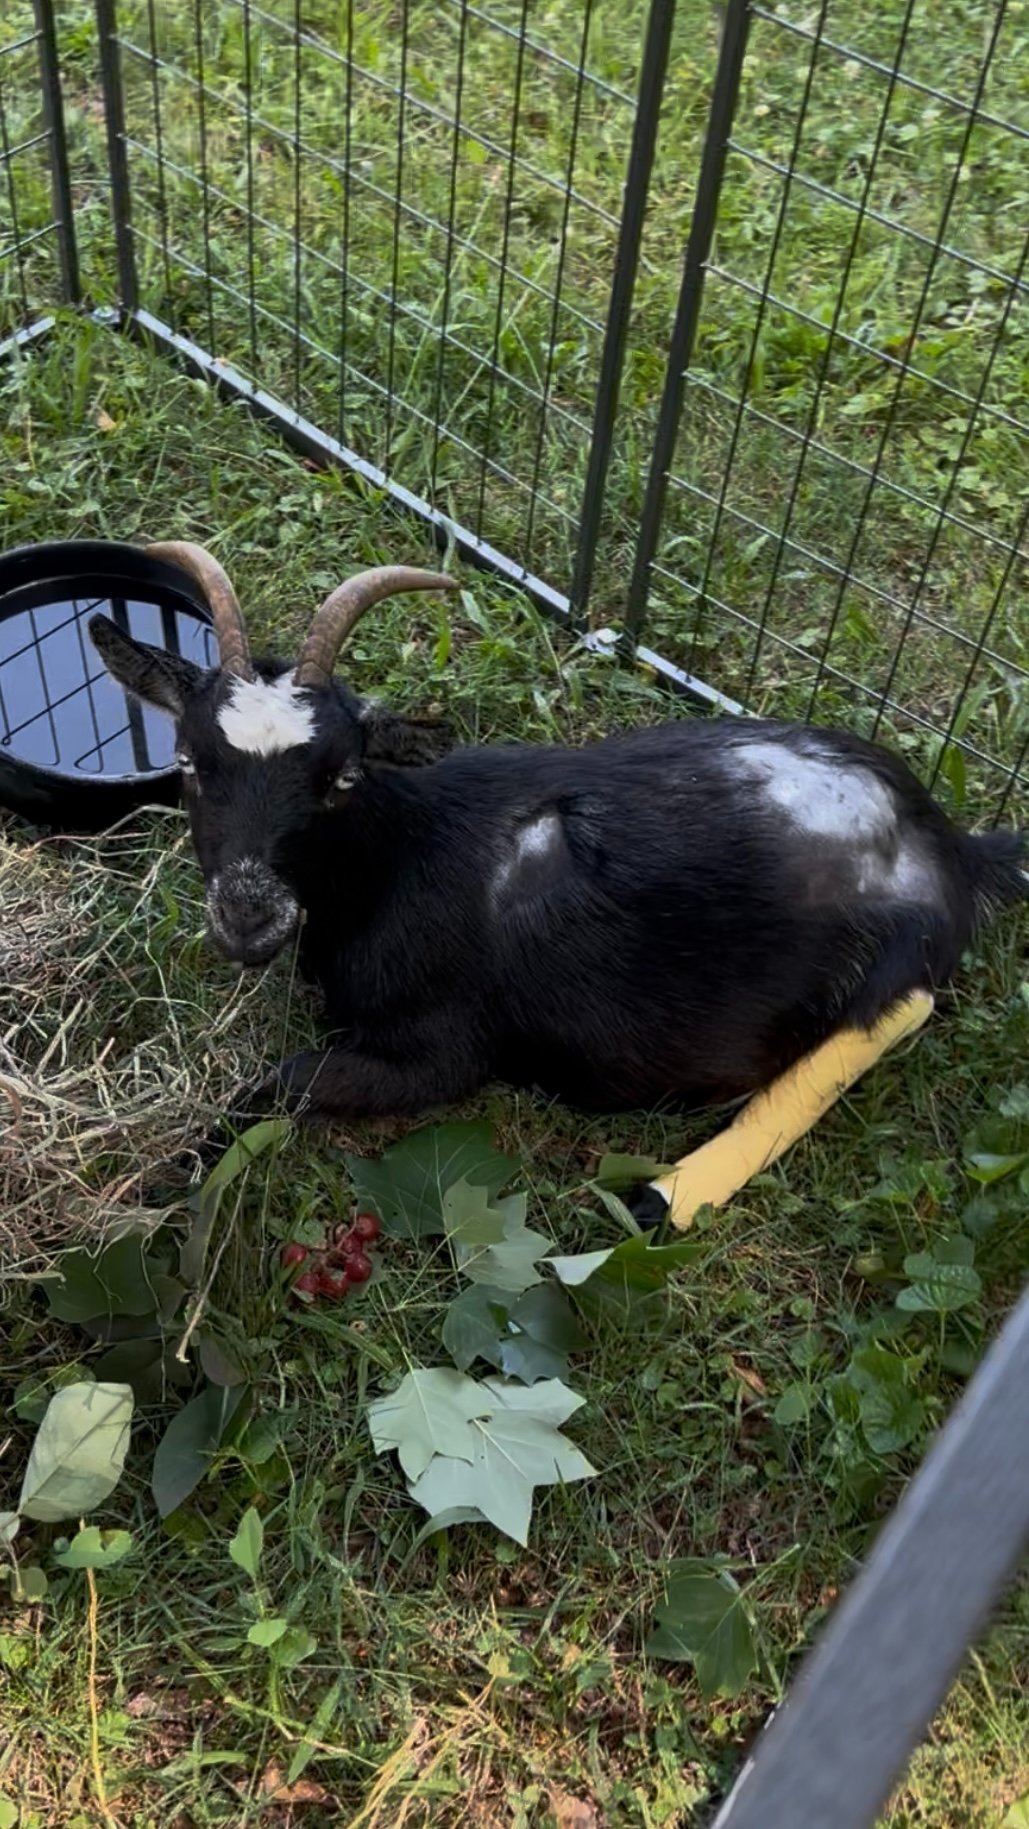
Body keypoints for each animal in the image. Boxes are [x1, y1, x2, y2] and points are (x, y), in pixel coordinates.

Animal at [89, 547, 1027, 1223]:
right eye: (188, 761)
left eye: (342, 776)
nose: (247, 917)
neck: (402, 856)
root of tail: (950, 844)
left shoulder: (443, 1052)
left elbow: (282, 1080)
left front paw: (158, 1184)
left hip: (891, 962)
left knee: (895, 1012)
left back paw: (662, 1195)